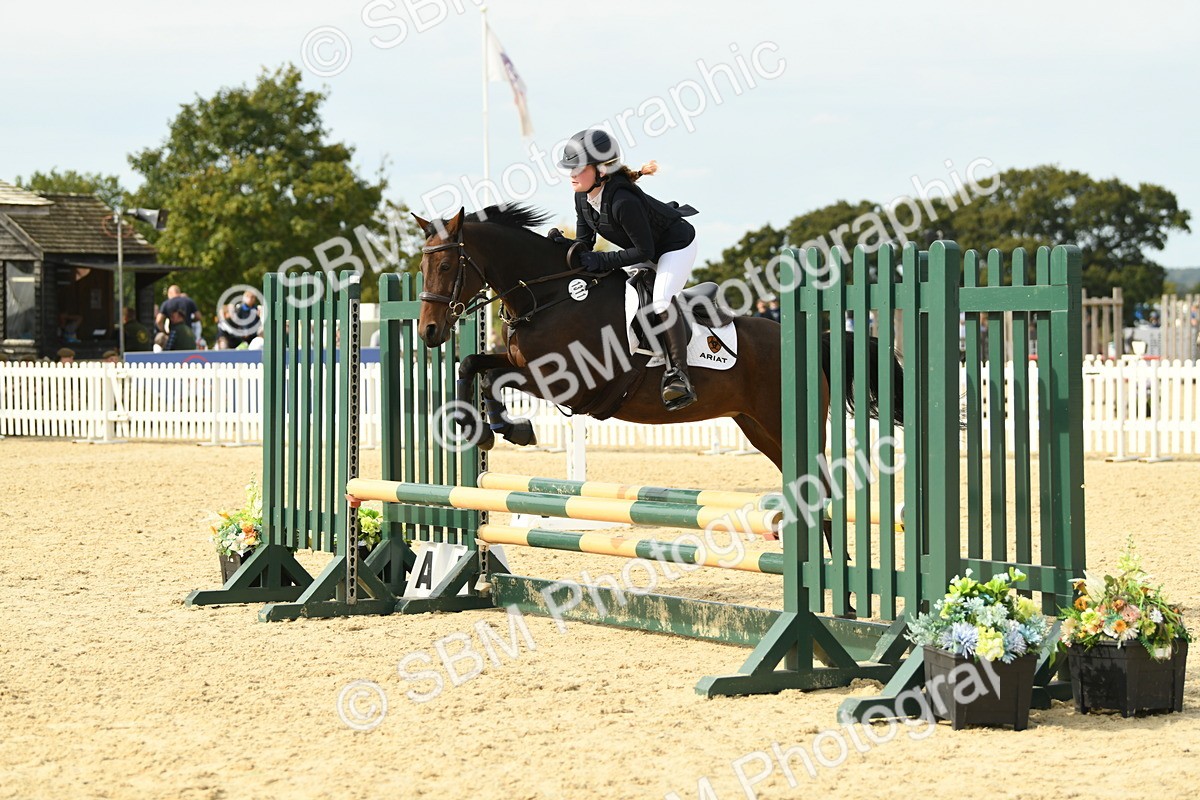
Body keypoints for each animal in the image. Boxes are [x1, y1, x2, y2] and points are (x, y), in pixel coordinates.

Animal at [411, 204, 903, 474]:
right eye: (422, 266)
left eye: (447, 266)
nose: (429, 332)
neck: (551, 295)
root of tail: (813, 338)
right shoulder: (520, 361)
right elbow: (473, 366)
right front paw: (480, 429)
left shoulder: (571, 383)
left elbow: (494, 379)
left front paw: (510, 428)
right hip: (758, 427)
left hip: (786, 424)